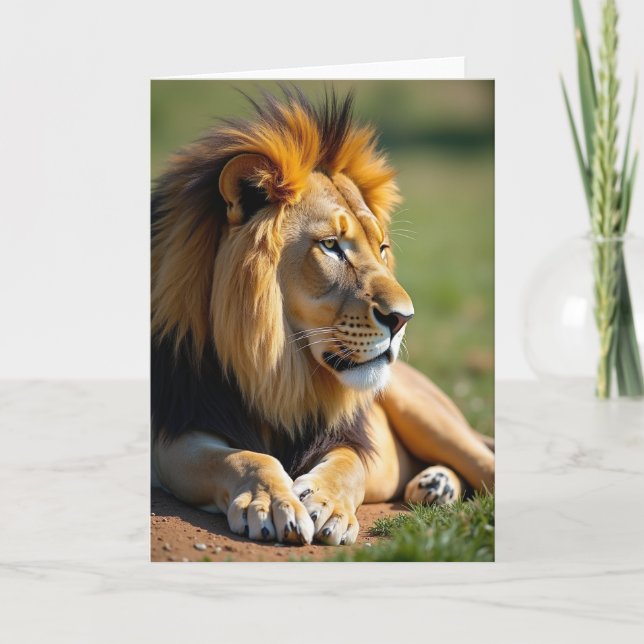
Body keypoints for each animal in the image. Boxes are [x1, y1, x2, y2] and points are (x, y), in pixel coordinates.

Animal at [151, 87, 494, 546]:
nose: (404, 318)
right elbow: (245, 457)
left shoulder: (352, 436)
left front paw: (326, 505)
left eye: (381, 248)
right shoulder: (177, 434)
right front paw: (272, 502)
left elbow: (348, 465)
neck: (280, 371)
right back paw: (434, 485)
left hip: (424, 409)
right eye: (331, 245)